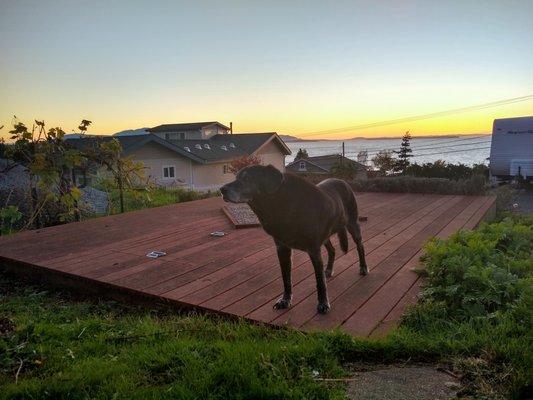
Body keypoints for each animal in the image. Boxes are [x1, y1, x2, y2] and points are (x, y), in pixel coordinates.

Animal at [219, 164, 366, 314]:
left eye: (247, 178)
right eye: (236, 177)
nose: (222, 189)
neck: (280, 205)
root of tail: (342, 181)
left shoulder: (314, 250)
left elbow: (319, 281)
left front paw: (323, 303)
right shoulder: (282, 249)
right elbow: (286, 278)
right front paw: (285, 300)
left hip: (353, 225)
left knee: (360, 246)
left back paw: (363, 268)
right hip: (326, 235)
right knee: (332, 250)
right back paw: (329, 270)